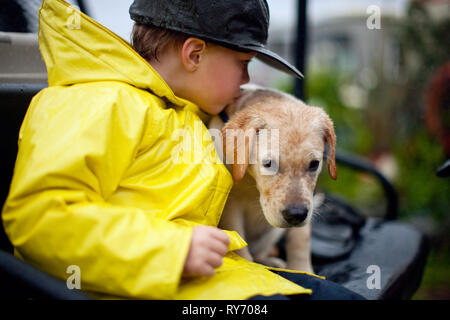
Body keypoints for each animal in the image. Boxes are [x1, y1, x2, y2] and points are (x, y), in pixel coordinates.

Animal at [209, 85, 336, 272]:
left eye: (314, 164)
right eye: (268, 164)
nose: (295, 215)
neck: (251, 179)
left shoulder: (307, 201)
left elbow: (300, 239)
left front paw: (303, 269)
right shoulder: (230, 206)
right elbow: (239, 244)